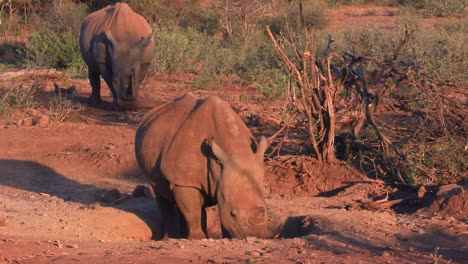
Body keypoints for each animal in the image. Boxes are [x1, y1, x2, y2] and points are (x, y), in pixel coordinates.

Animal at [135, 93, 276, 239]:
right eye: (233, 214)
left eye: (265, 210)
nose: (254, 235)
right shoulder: (185, 181)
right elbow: (192, 211)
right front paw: (198, 238)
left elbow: (213, 211)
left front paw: (225, 237)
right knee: (161, 193)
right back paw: (173, 237)